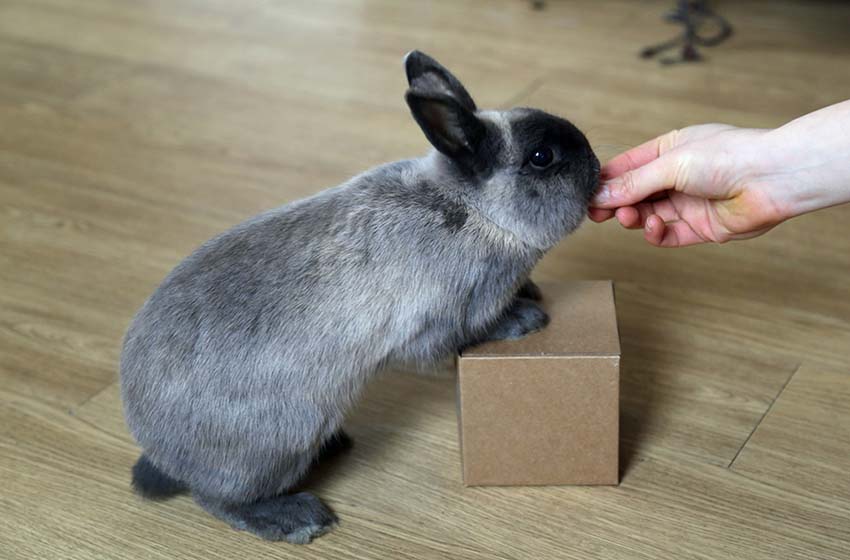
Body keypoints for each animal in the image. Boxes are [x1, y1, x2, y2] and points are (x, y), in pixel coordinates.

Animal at [119, 50, 600, 544]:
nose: (597, 163)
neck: (478, 211)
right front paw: (526, 318)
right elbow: (472, 330)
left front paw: (531, 291)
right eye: (542, 157)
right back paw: (298, 518)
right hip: (276, 443)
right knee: (218, 500)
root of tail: (159, 448)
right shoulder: (440, 320)